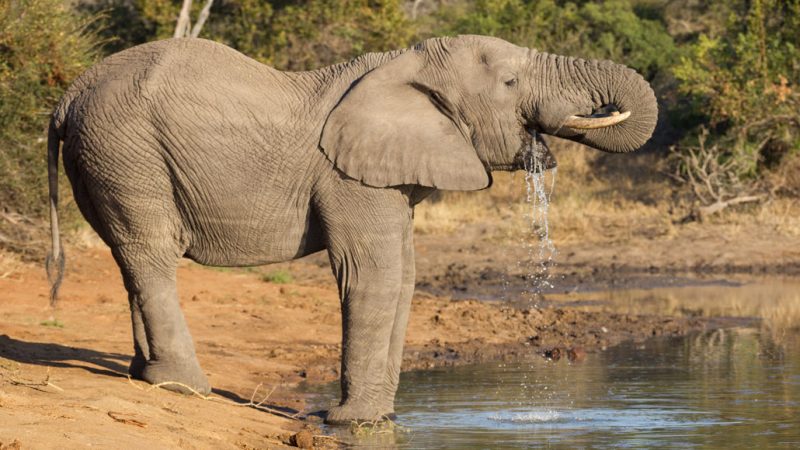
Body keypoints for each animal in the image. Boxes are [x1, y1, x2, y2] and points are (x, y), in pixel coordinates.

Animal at [45, 34, 656, 422]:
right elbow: (372, 275)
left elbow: (405, 277)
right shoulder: (349, 178)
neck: (403, 66)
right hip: (126, 149)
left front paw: (380, 419)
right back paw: (184, 387)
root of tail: (68, 95)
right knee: (151, 253)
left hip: (103, 156)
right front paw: (350, 422)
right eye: (510, 81)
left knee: (129, 256)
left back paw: (143, 376)